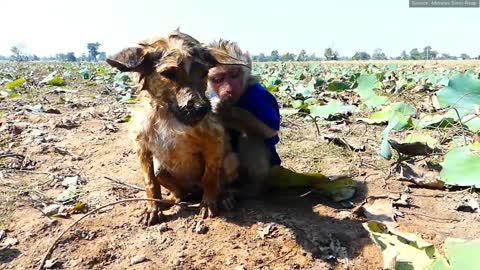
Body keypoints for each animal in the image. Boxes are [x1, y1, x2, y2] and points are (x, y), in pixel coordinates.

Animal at [109, 31, 244, 226]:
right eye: (169, 74)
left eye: (204, 73)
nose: (201, 109)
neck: (168, 116)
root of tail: (193, 191)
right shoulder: (142, 146)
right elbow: (150, 182)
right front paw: (152, 209)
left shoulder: (214, 139)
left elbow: (210, 176)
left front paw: (209, 203)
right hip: (161, 169)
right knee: (178, 194)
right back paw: (168, 202)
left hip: (230, 160)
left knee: (220, 183)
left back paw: (224, 197)